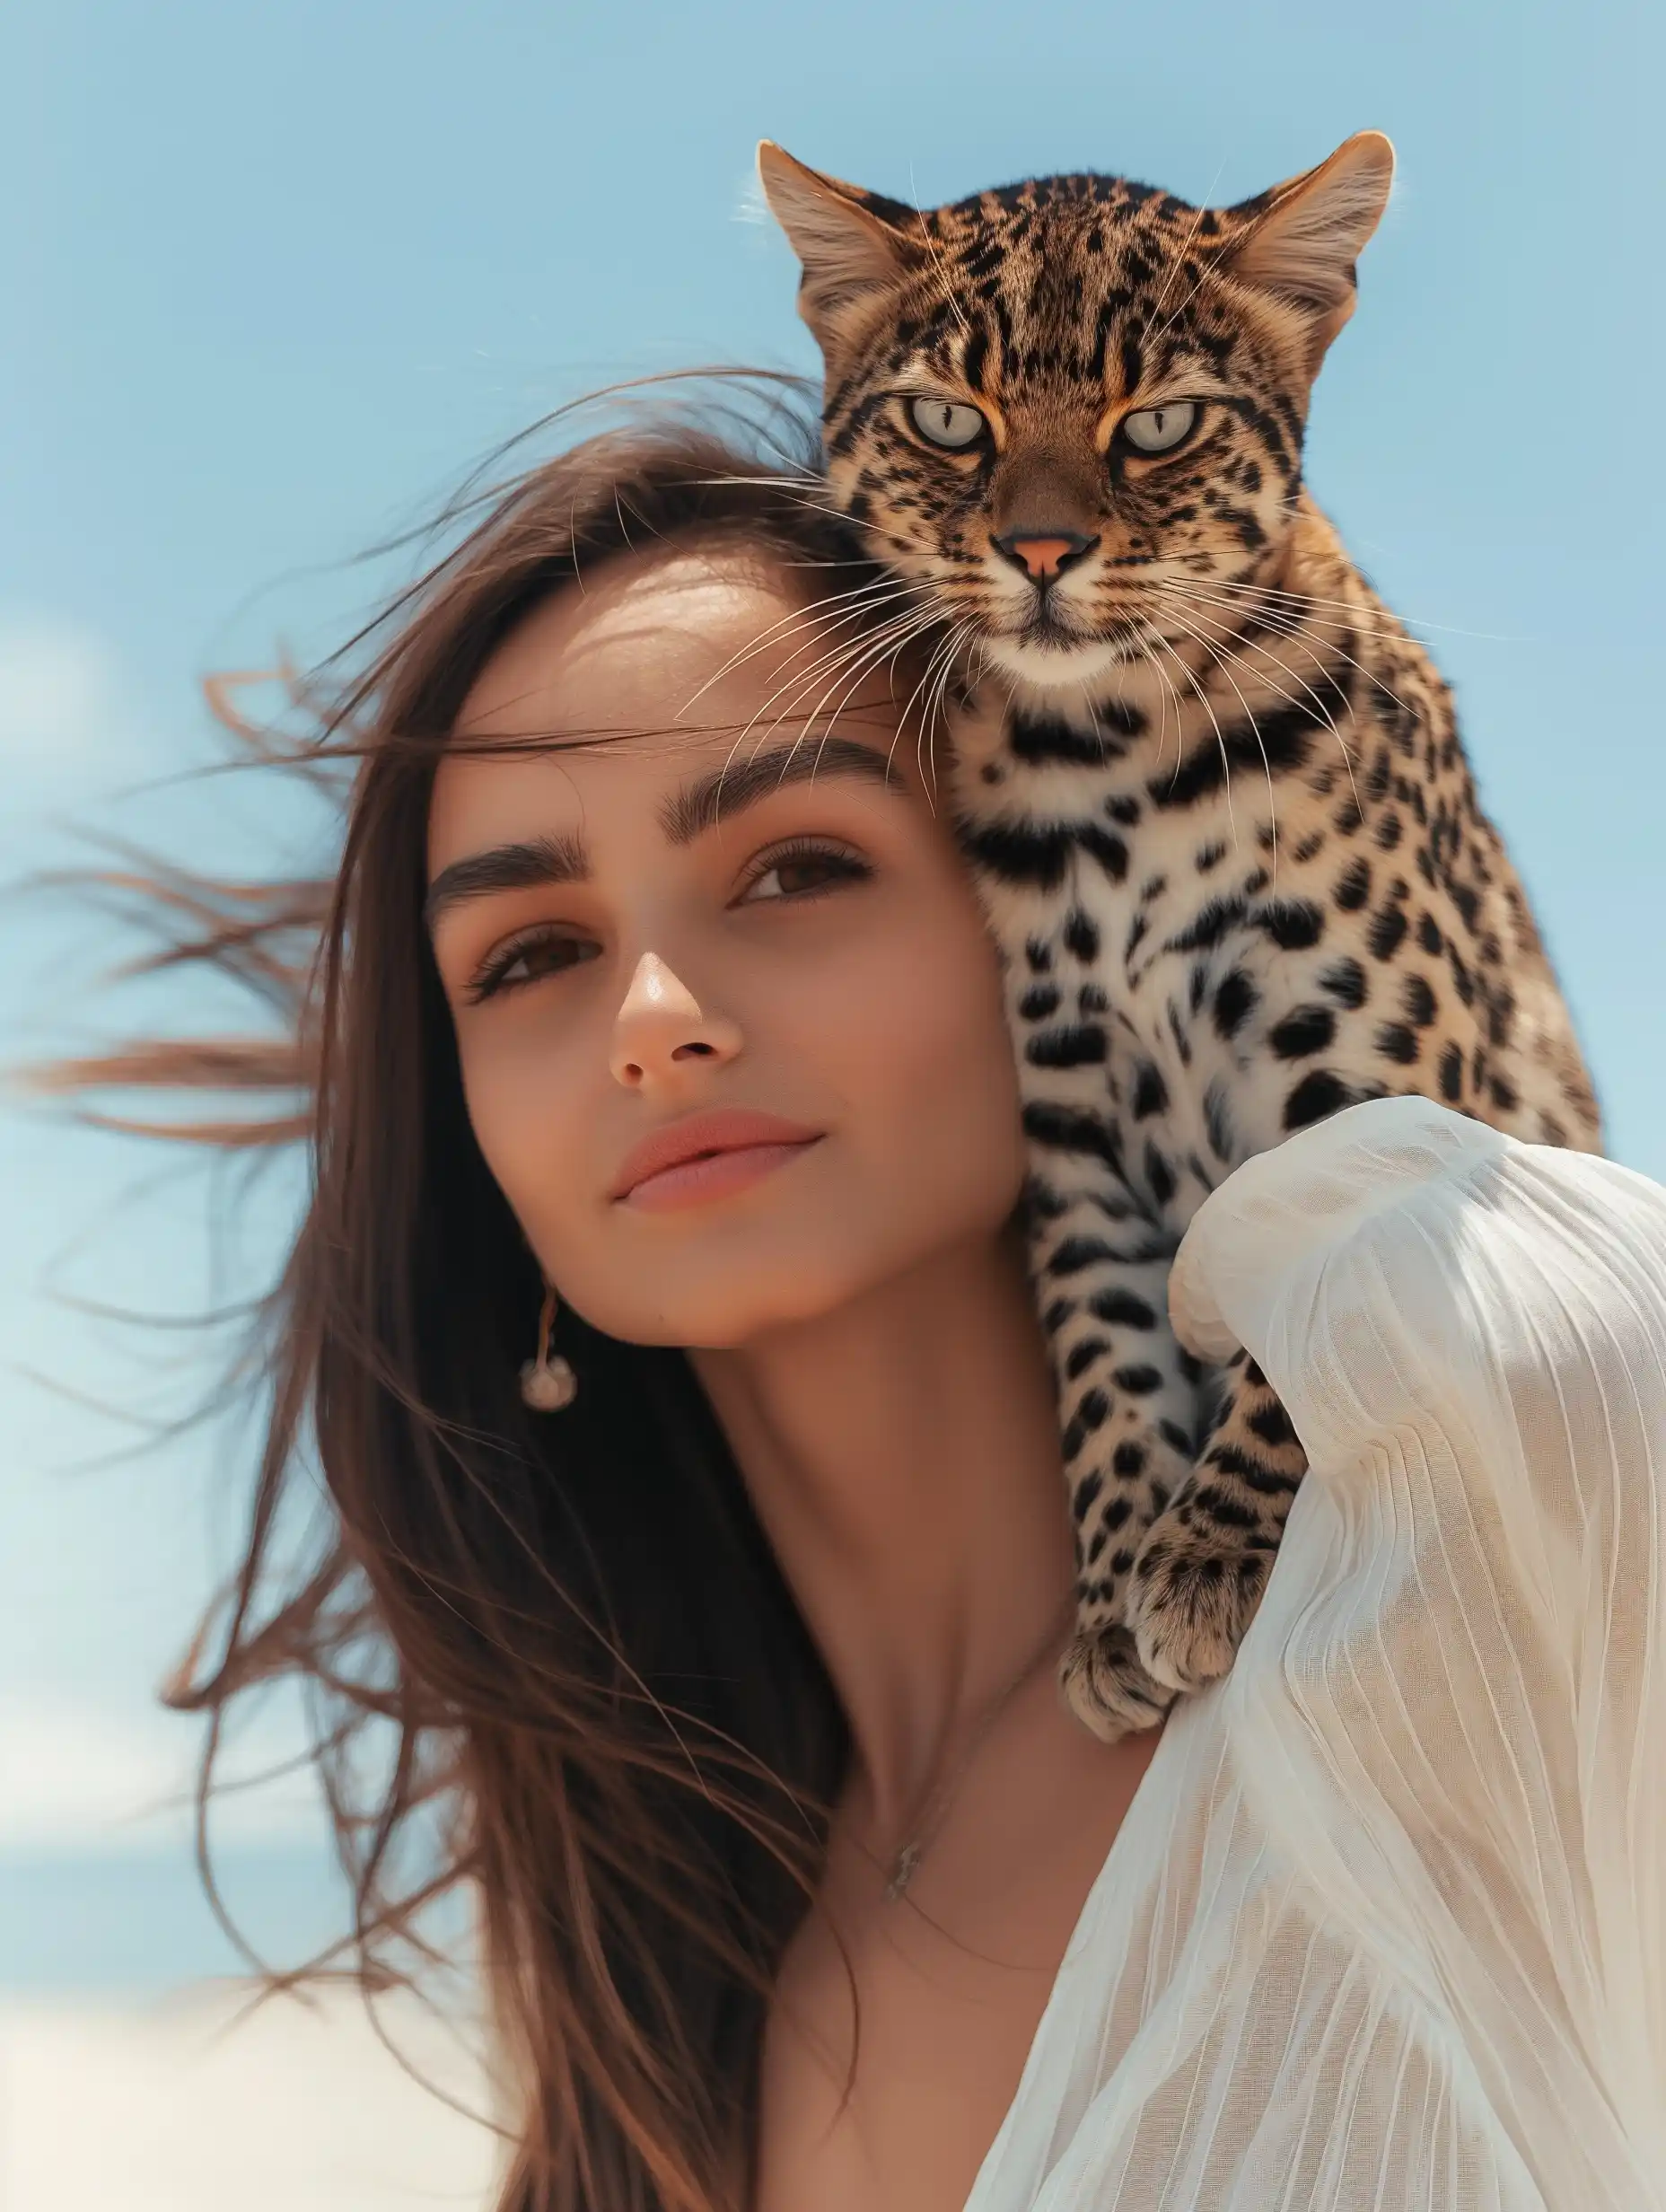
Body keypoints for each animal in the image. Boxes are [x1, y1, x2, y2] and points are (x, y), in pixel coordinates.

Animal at [759, 130, 1603, 1742]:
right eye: (948, 419)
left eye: (1156, 425)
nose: (1040, 550)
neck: (1107, 759)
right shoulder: (1065, 1120)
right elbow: (1098, 1354)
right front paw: (1110, 1594)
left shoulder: (1369, 1077)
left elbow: (1316, 1322)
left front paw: (1210, 1556)